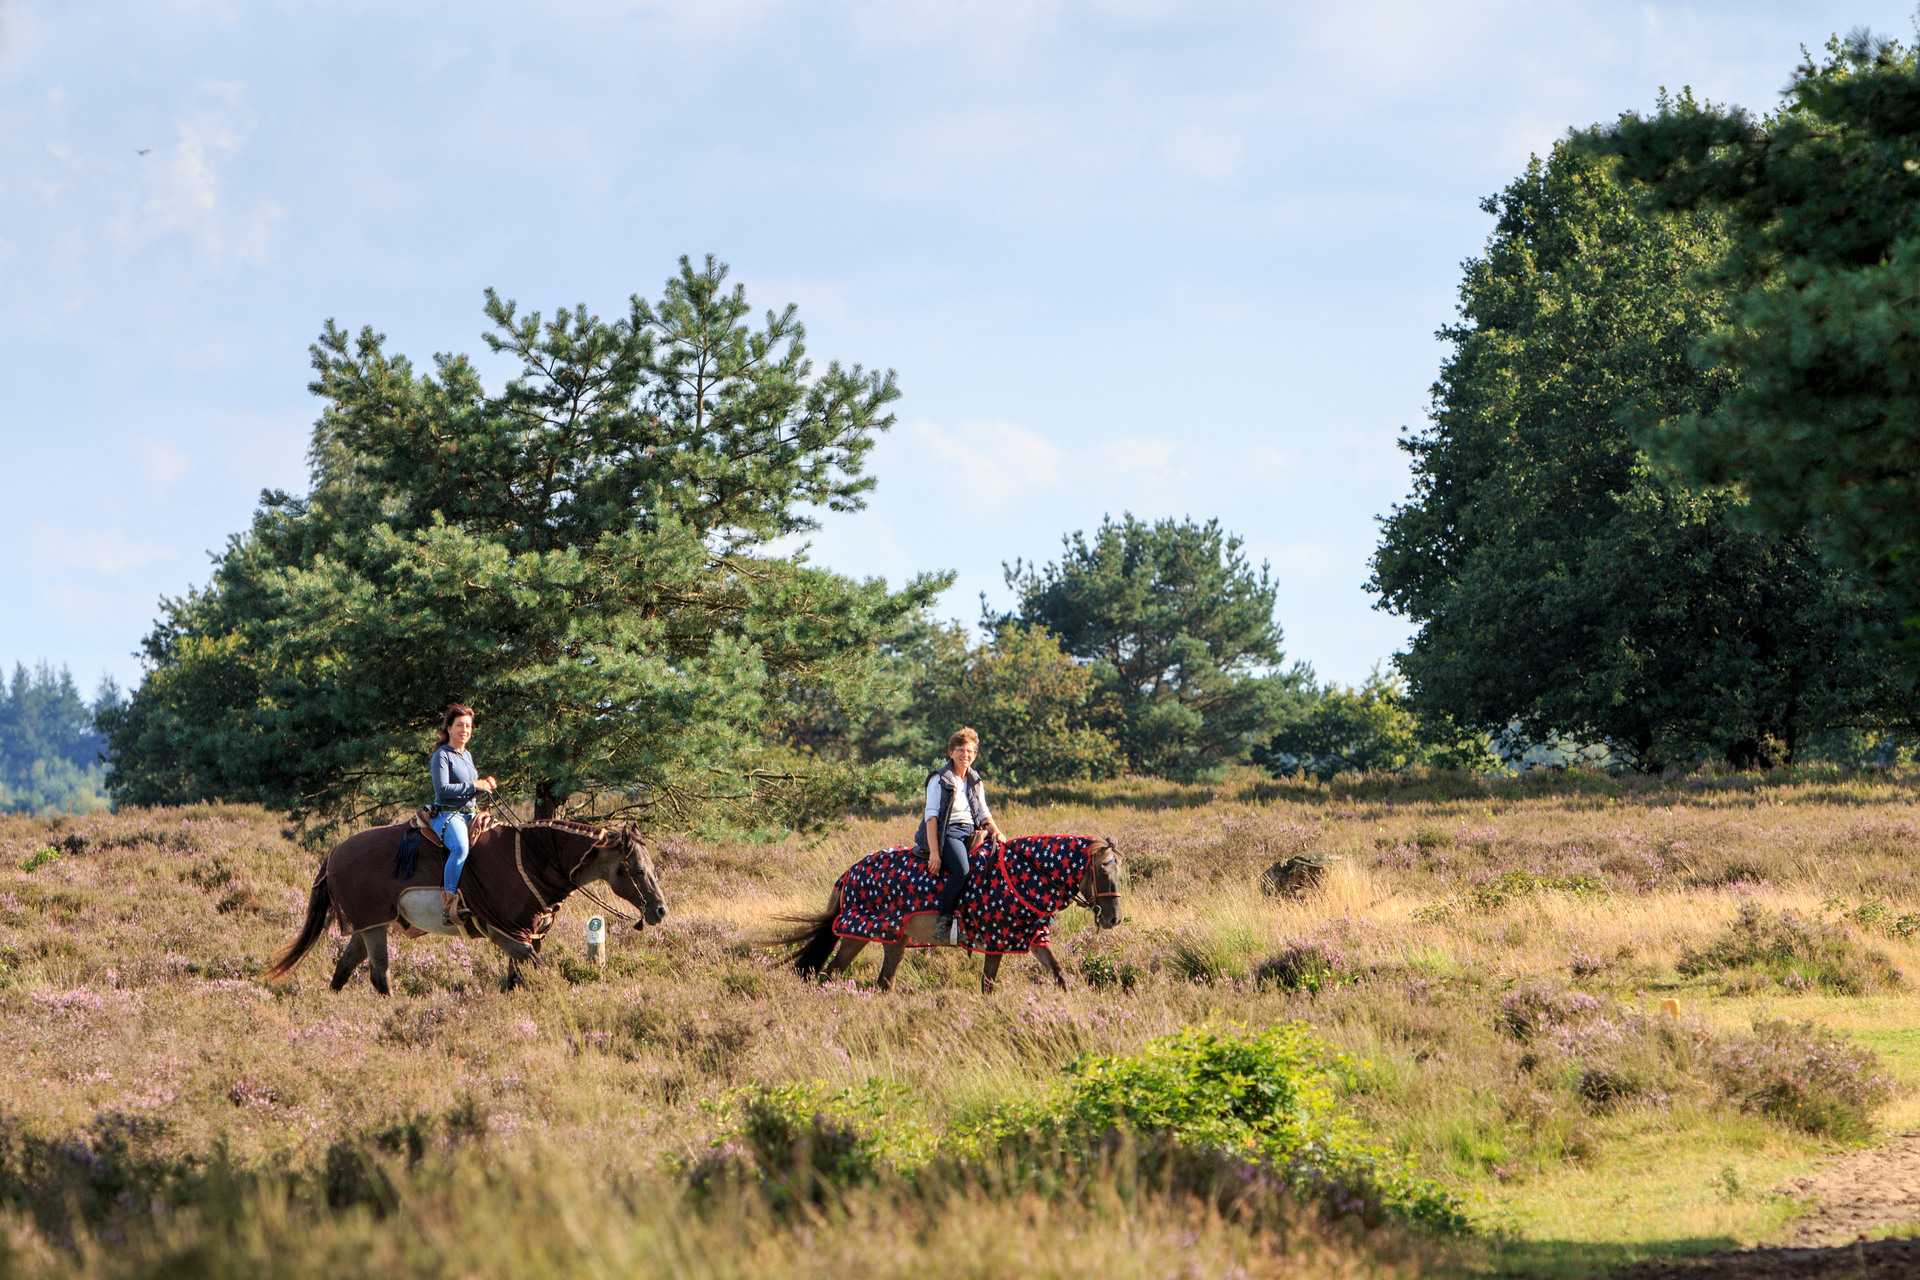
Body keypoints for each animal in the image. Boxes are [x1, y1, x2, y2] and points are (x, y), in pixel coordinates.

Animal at [266, 817, 664, 997]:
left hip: (367, 926)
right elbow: (542, 972)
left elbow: (516, 978)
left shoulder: (527, 935)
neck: (533, 859)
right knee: (379, 974)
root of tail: (334, 852)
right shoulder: (507, 934)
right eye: (636, 870)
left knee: (345, 967)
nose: (659, 910)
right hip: (374, 925)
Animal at [771, 836, 1121, 997]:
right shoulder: (996, 940)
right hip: (862, 933)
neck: (1023, 875)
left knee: (880, 981)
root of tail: (848, 873)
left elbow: (1060, 975)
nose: (1114, 920)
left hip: (894, 939)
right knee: (833, 973)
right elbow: (988, 985)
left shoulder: (1030, 938)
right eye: (1104, 873)